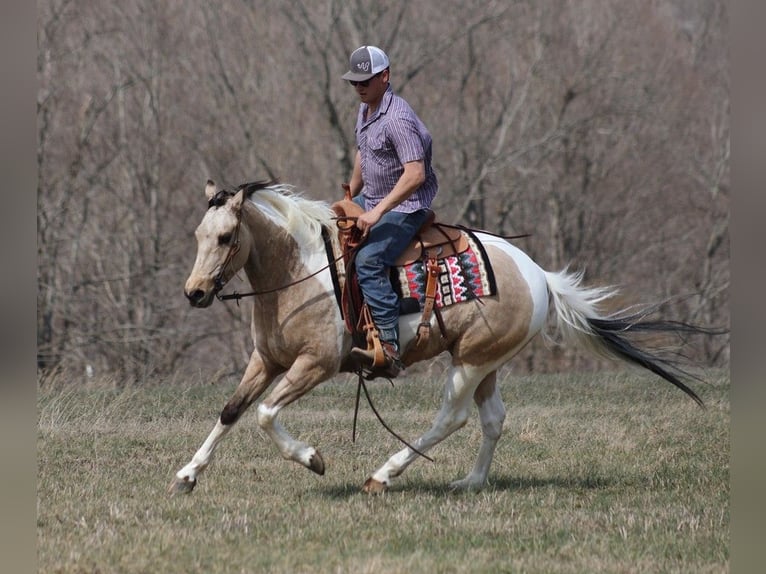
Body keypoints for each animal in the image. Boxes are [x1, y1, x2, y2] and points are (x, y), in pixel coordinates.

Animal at [171, 182, 712, 498]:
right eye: (198, 234)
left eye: (225, 238)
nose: (194, 292)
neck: (301, 270)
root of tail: (539, 276)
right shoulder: (266, 360)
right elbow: (232, 411)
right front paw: (188, 475)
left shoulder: (315, 364)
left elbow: (265, 414)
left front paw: (312, 459)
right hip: (487, 363)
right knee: (493, 419)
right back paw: (470, 481)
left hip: (469, 362)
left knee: (451, 417)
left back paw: (384, 474)